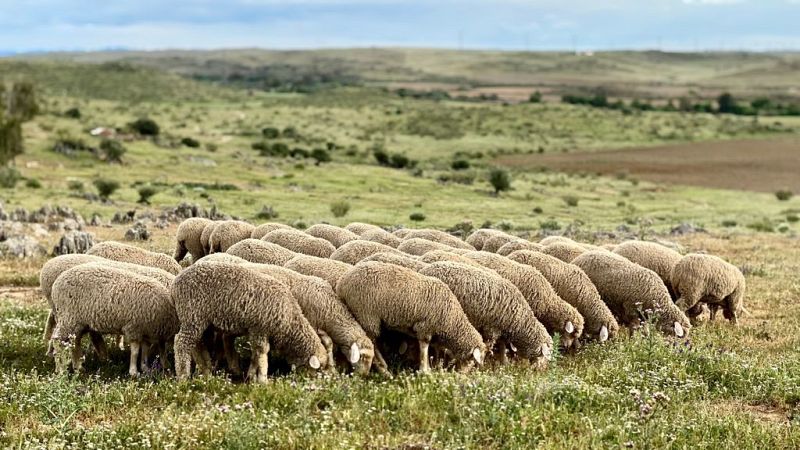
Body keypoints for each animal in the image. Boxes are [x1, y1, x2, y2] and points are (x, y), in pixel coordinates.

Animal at [50, 265, 178, 376]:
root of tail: (57, 282)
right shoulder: (134, 327)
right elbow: (135, 351)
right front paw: (134, 372)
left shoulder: (146, 331)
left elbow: (145, 350)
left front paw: (145, 368)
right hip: (68, 318)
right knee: (57, 341)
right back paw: (60, 369)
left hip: (78, 323)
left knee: (75, 342)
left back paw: (79, 368)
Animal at [171, 261, 329, 382]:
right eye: (319, 369)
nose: (321, 384)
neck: (290, 321)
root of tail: (175, 283)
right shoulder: (260, 329)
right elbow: (262, 353)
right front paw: (263, 379)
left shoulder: (256, 331)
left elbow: (255, 354)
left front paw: (251, 375)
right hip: (192, 315)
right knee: (181, 343)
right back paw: (183, 376)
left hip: (201, 321)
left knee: (197, 344)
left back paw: (206, 371)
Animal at [337, 261, 487, 374]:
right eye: (472, 360)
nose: (462, 375)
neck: (453, 320)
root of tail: (342, 283)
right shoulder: (425, 327)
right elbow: (424, 347)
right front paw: (425, 370)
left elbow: (435, 350)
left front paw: (434, 366)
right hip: (367, 315)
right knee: (373, 342)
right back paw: (383, 368)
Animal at [419, 261, 553, 365]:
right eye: (542, 355)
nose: (541, 369)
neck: (520, 319)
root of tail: (426, 269)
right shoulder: (491, 329)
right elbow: (488, 347)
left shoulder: (501, 330)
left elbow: (502, 346)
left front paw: (503, 362)